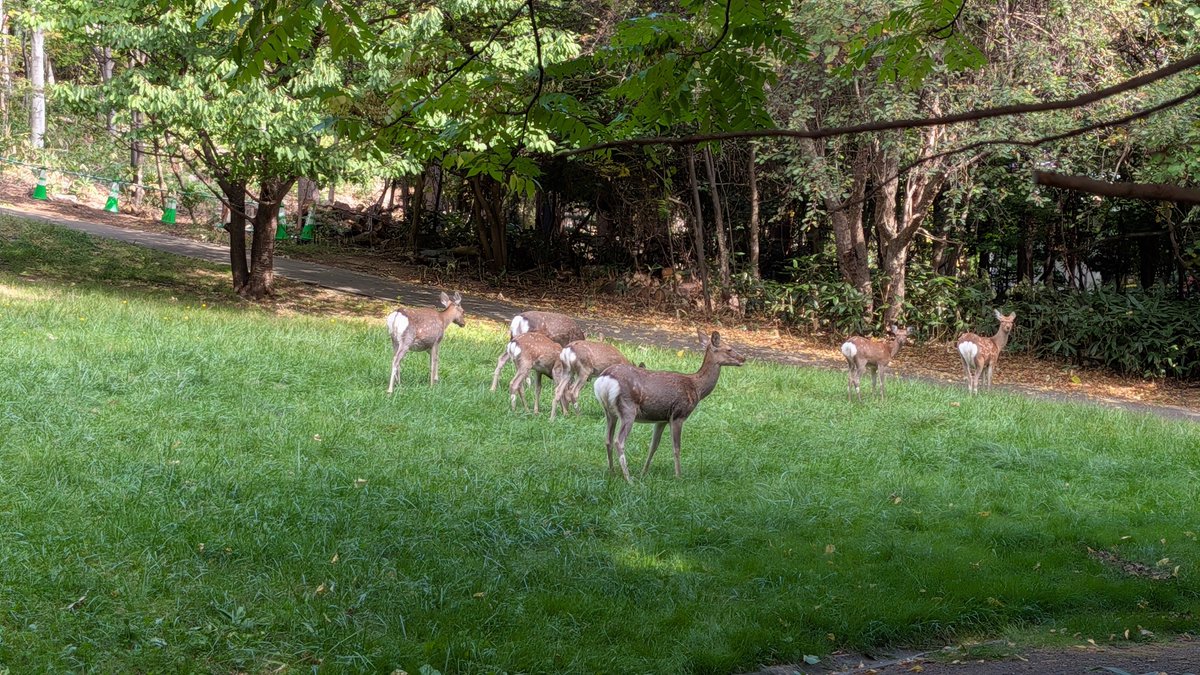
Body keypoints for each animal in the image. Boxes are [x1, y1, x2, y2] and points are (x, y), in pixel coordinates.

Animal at [593, 329, 745, 482]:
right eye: (729, 348)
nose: (743, 358)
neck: (697, 388)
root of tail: (604, 380)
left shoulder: (661, 419)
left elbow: (653, 446)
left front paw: (644, 473)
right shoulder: (678, 415)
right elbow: (676, 448)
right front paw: (678, 476)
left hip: (609, 412)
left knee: (608, 439)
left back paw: (612, 472)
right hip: (628, 409)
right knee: (619, 441)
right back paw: (628, 479)